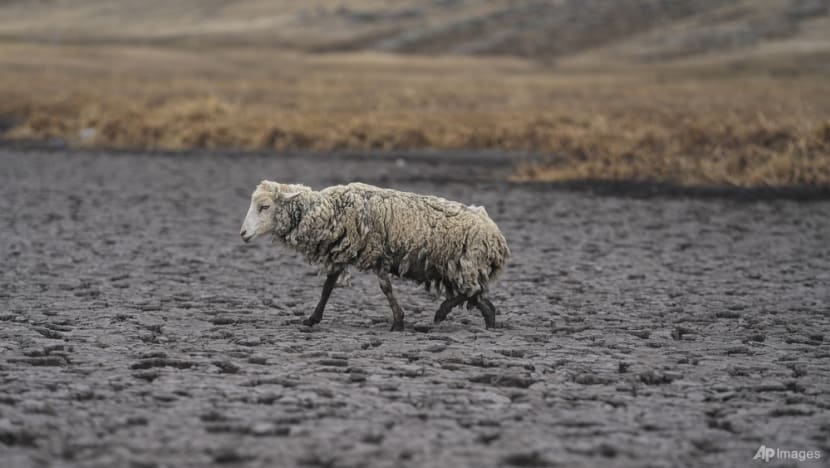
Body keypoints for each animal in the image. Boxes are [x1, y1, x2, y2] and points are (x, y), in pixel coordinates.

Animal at [240, 181, 510, 330]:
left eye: (264, 206)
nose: (243, 234)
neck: (330, 210)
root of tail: (497, 235)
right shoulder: (342, 251)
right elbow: (327, 287)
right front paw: (312, 319)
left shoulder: (376, 252)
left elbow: (385, 289)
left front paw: (398, 322)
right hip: (462, 268)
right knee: (481, 300)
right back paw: (487, 323)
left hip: (466, 264)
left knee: (472, 292)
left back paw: (442, 312)